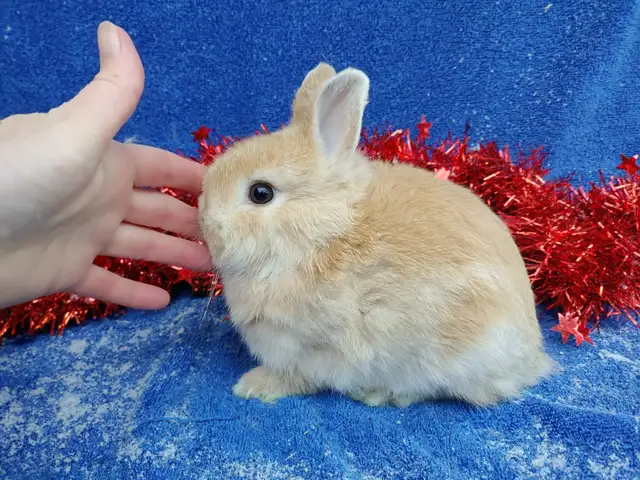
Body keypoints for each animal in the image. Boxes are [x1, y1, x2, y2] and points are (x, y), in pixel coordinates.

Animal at [198, 63, 555, 407]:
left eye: (261, 193)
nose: (205, 220)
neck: (321, 237)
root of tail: (530, 356)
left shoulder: (316, 348)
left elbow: (299, 377)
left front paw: (254, 386)